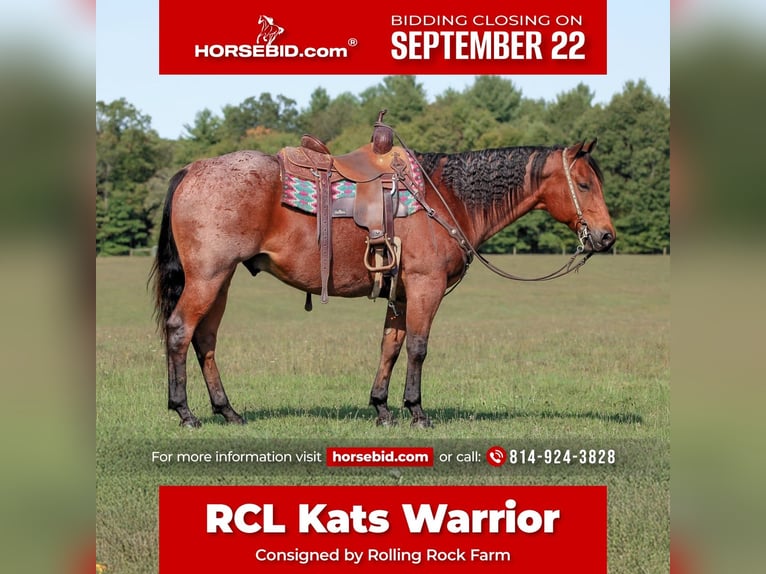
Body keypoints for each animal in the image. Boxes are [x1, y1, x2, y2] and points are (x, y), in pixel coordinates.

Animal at [150, 136, 615, 428]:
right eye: (585, 184)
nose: (607, 237)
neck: (445, 197)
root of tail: (193, 168)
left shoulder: (402, 292)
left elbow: (390, 346)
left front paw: (382, 408)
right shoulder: (425, 286)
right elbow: (418, 347)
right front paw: (417, 411)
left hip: (221, 280)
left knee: (206, 339)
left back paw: (227, 411)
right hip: (208, 277)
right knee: (180, 331)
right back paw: (184, 412)